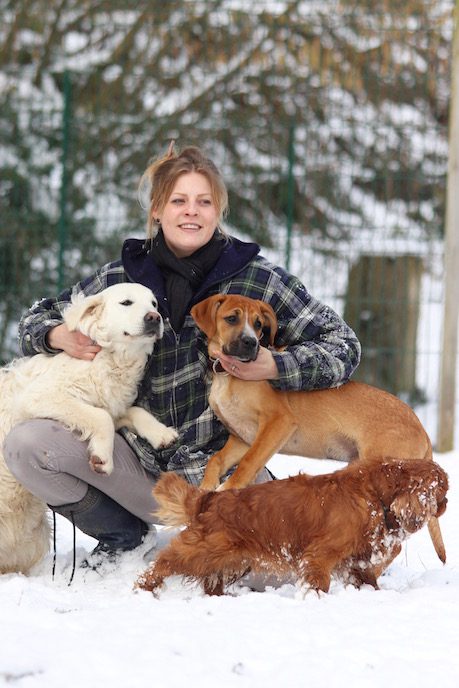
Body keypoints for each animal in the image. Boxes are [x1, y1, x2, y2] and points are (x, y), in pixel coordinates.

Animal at [0, 280, 178, 576]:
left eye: (154, 304)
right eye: (126, 302)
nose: (154, 318)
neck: (112, 358)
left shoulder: (112, 404)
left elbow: (134, 411)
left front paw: (161, 433)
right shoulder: (39, 397)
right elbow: (100, 417)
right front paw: (102, 458)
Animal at [137, 460, 450, 600]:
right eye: (442, 492)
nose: (447, 503)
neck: (375, 494)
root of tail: (209, 498)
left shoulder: (352, 561)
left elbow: (367, 580)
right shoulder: (319, 556)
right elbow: (318, 582)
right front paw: (316, 599)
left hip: (233, 560)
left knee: (211, 582)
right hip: (205, 550)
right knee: (164, 562)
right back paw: (144, 588)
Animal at [190, 292, 446, 560]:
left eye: (258, 324)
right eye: (231, 318)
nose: (251, 343)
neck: (227, 376)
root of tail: (423, 432)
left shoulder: (278, 423)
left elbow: (247, 464)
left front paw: (224, 491)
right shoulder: (243, 437)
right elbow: (216, 459)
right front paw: (206, 487)